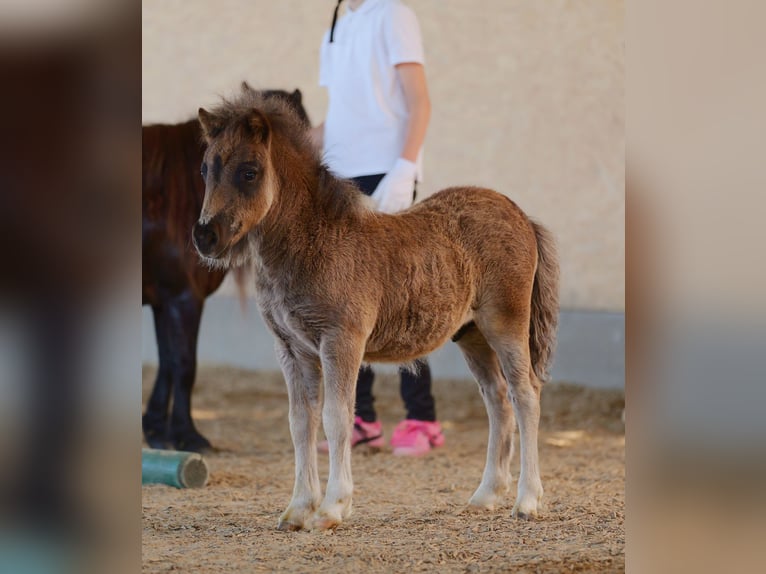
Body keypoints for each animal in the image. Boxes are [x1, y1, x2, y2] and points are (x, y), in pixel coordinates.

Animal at [142, 87, 310, 451]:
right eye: (204, 170)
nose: (205, 236)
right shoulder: (184, 298)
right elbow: (184, 365)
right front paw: (188, 435)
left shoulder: (165, 300)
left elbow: (167, 362)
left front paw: (157, 430)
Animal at [193, 84, 559, 530]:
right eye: (205, 169)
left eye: (249, 171)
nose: (205, 236)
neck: (313, 243)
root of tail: (519, 213)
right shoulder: (291, 348)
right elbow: (301, 423)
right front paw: (298, 508)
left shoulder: (341, 340)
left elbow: (336, 418)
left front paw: (332, 508)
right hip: (471, 335)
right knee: (497, 400)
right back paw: (485, 495)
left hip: (506, 323)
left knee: (525, 395)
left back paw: (527, 500)